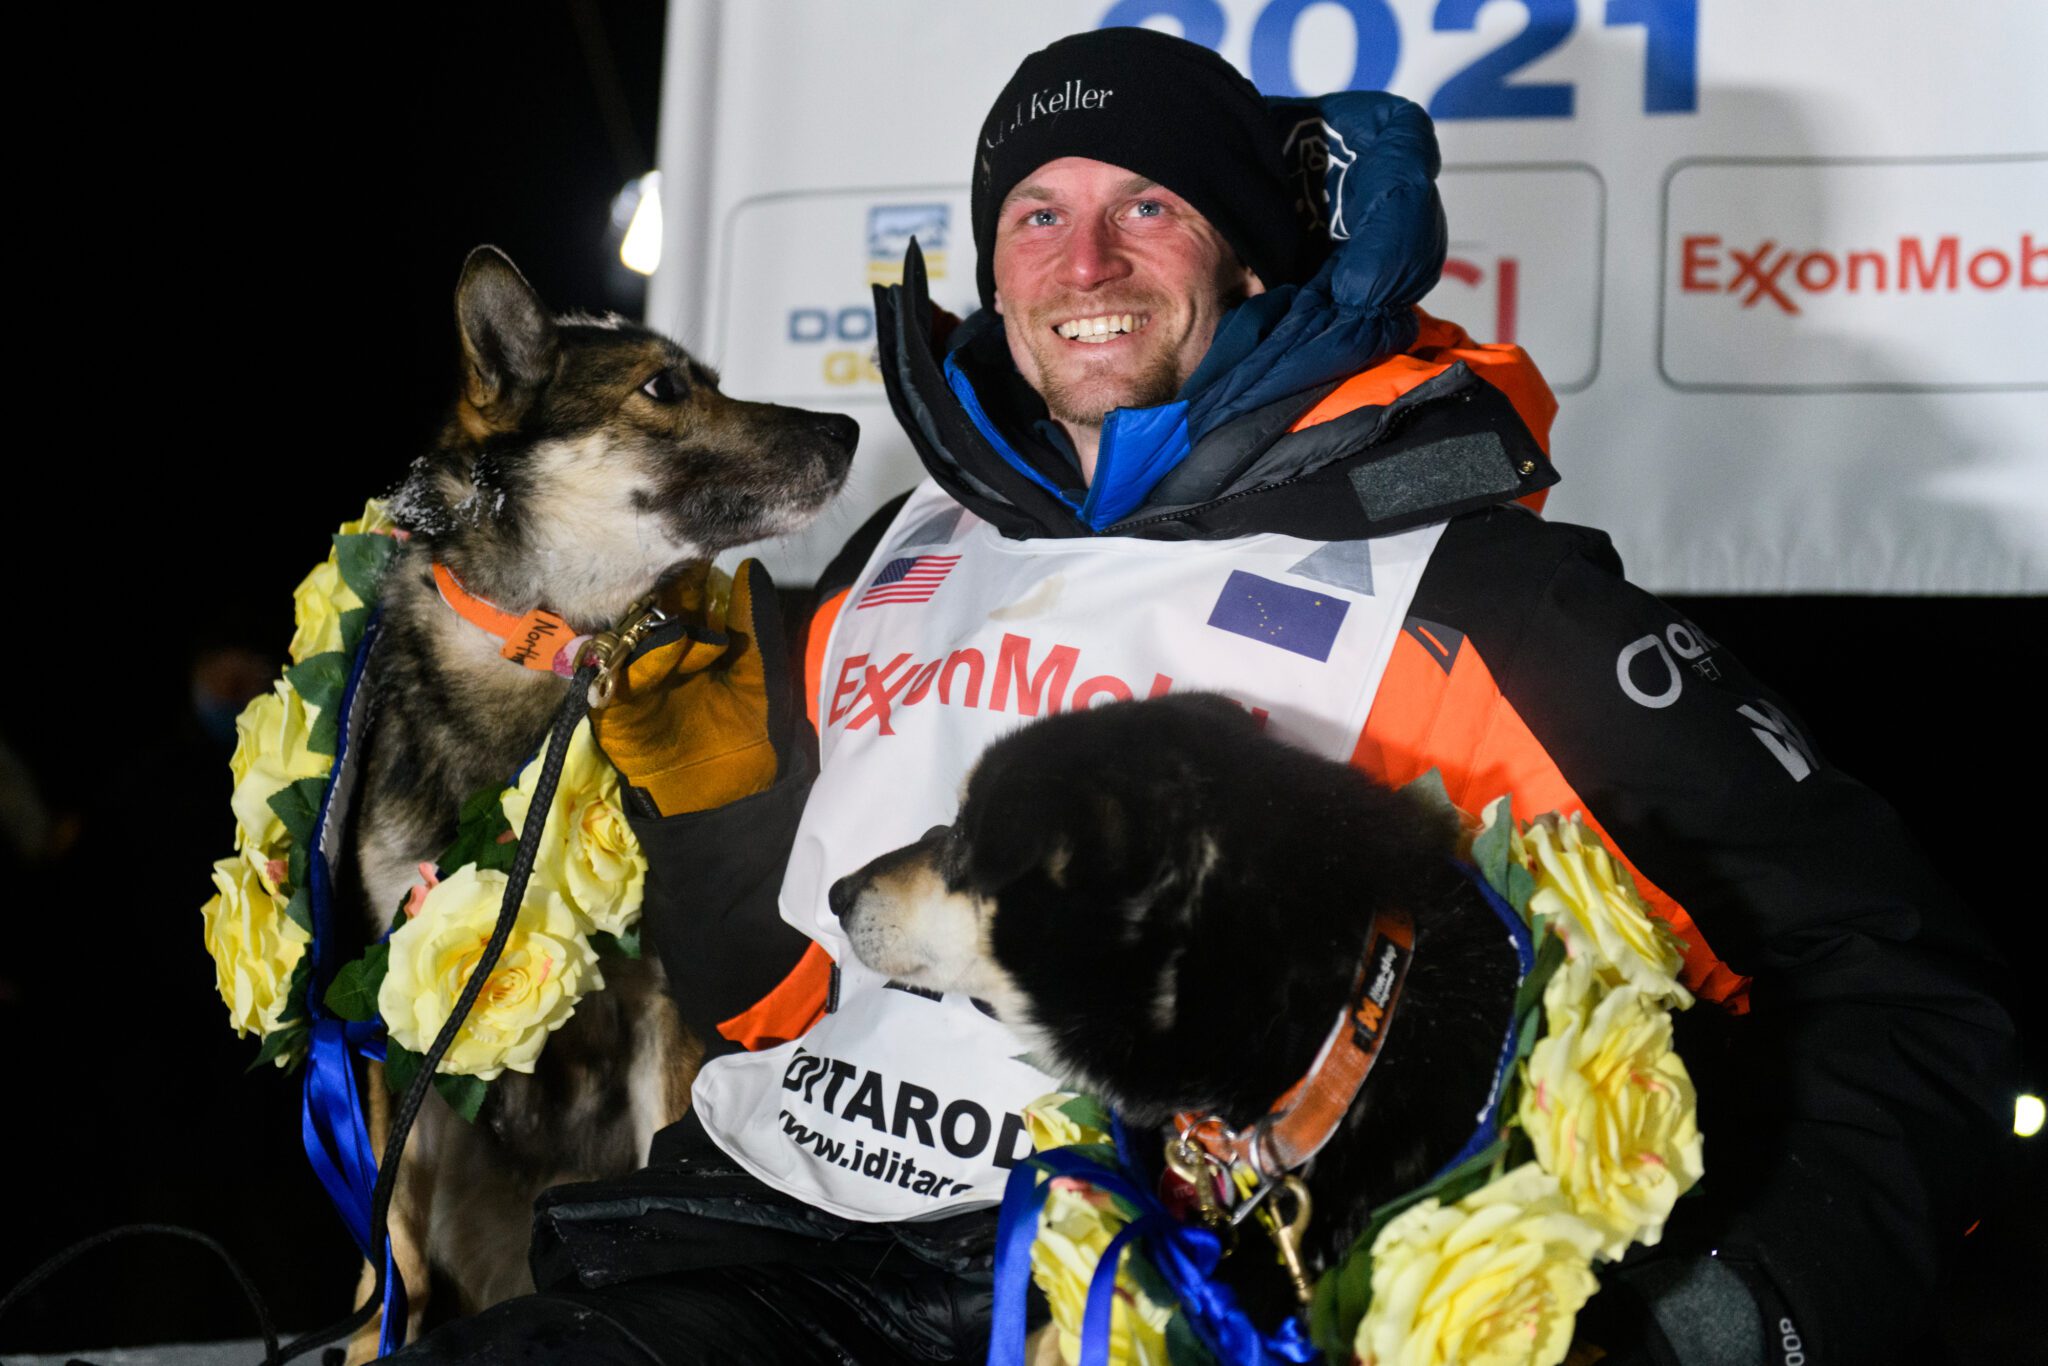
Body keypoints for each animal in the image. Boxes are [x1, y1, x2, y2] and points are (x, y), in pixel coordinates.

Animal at [342, 248, 847, 1359]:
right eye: (663, 387)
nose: (848, 429)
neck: (558, 654)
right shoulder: (386, 1014)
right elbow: (388, 1249)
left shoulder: (666, 1003)